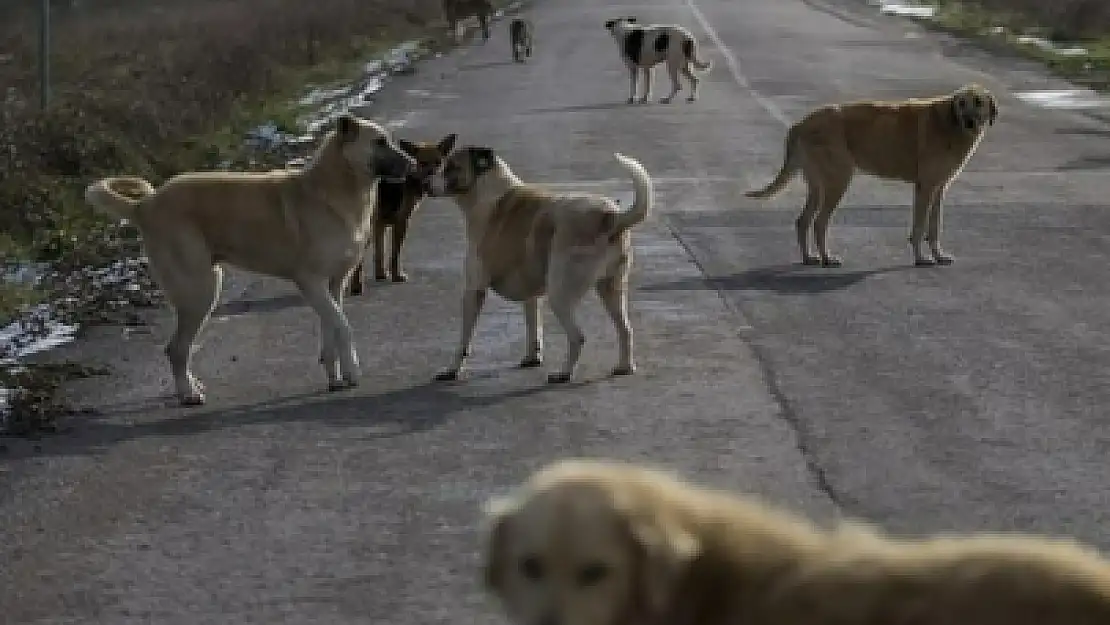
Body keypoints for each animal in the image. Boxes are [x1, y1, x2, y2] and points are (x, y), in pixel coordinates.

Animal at [85, 113, 417, 406]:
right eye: (379, 142)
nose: (413, 164)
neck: (333, 188)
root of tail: (144, 205)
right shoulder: (310, 282)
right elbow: (343, 327)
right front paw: (353, 372)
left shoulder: (333, 285)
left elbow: (331, 329)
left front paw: (335, 376)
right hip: (200, 291)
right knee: (176, 349)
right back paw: (188, 395)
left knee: (180, 348)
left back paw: (192, 386)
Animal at [350, 132, 459, 293]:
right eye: (422, 163)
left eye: (438, 162)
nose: (430, 179)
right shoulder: (401, 222)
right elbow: (395, 253)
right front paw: (397, 276)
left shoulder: (380, 224)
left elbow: (380, 253)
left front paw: (381, 274)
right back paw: (356, 286)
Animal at [421, 147, 648, 381]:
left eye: (452, 167)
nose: (424, 184)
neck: (488, 191)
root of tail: (610, 216)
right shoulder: (530, 293)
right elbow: (533, 326)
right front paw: (532, 357)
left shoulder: (474, 290)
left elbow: (464, 341)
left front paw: (452, 370)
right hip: (611, 290)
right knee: (625, 329)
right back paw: (625, 366)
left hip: (560, 295)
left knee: (578, 337)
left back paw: (564, 374)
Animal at [745, 83, 999, 266]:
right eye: (961, 103)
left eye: (978, 102)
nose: (969, 121)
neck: (950, 123)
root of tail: (801, 123)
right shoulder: (925, 188)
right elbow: (919, 228)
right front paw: (920, 258)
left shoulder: (938, 189)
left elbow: (934, 227)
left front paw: (938, 255)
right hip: (838, 181)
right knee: (819, 222)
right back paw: (827, 258)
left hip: (818, 186)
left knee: (803, 221)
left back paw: (809, 258)